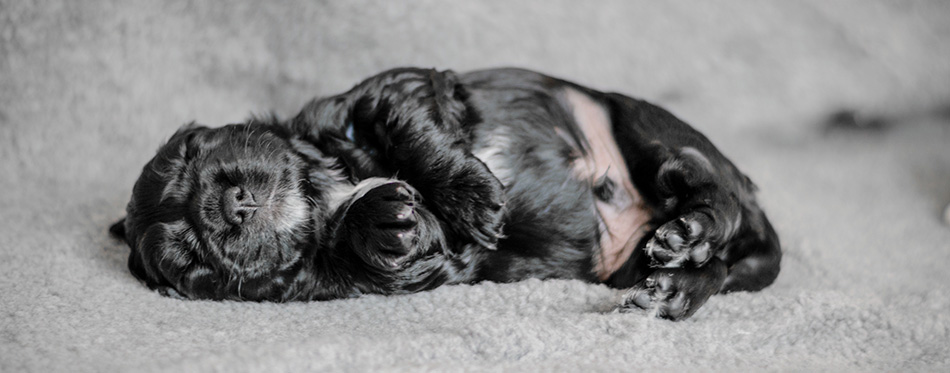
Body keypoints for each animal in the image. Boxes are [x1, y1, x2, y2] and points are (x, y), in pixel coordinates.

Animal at [111, 67, 780, 320]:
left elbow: (411, 127)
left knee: (706, 188)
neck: (329, 185)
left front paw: (476, 194)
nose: (230, 205)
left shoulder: (390, 90)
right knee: (715, 266)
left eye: (192, 151)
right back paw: (671, 288)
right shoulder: (392, 273)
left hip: (647, 130)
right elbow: (396, 250)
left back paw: (690, 231)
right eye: (187, 261)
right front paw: (381, 219)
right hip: (633, 261)